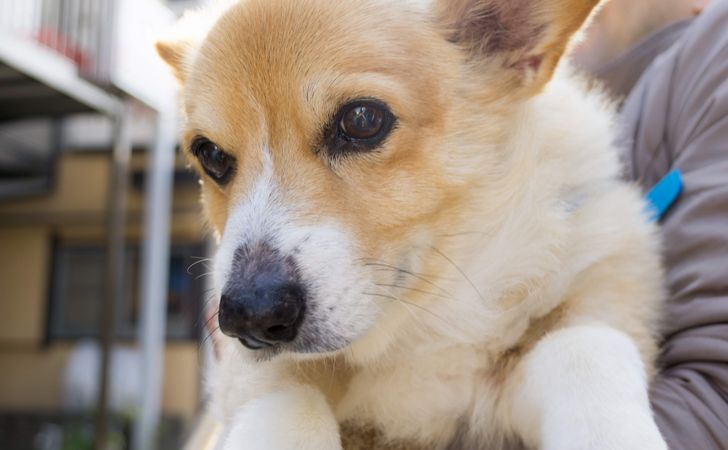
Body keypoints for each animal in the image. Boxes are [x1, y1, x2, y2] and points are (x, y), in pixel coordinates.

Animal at [156, 1, 668, 448]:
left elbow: (584, 347)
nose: (250, 317)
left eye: (363, 120)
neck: (426, 322)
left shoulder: (593, 303)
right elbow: (287, 403)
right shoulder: (253, 374)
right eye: (211, 154)